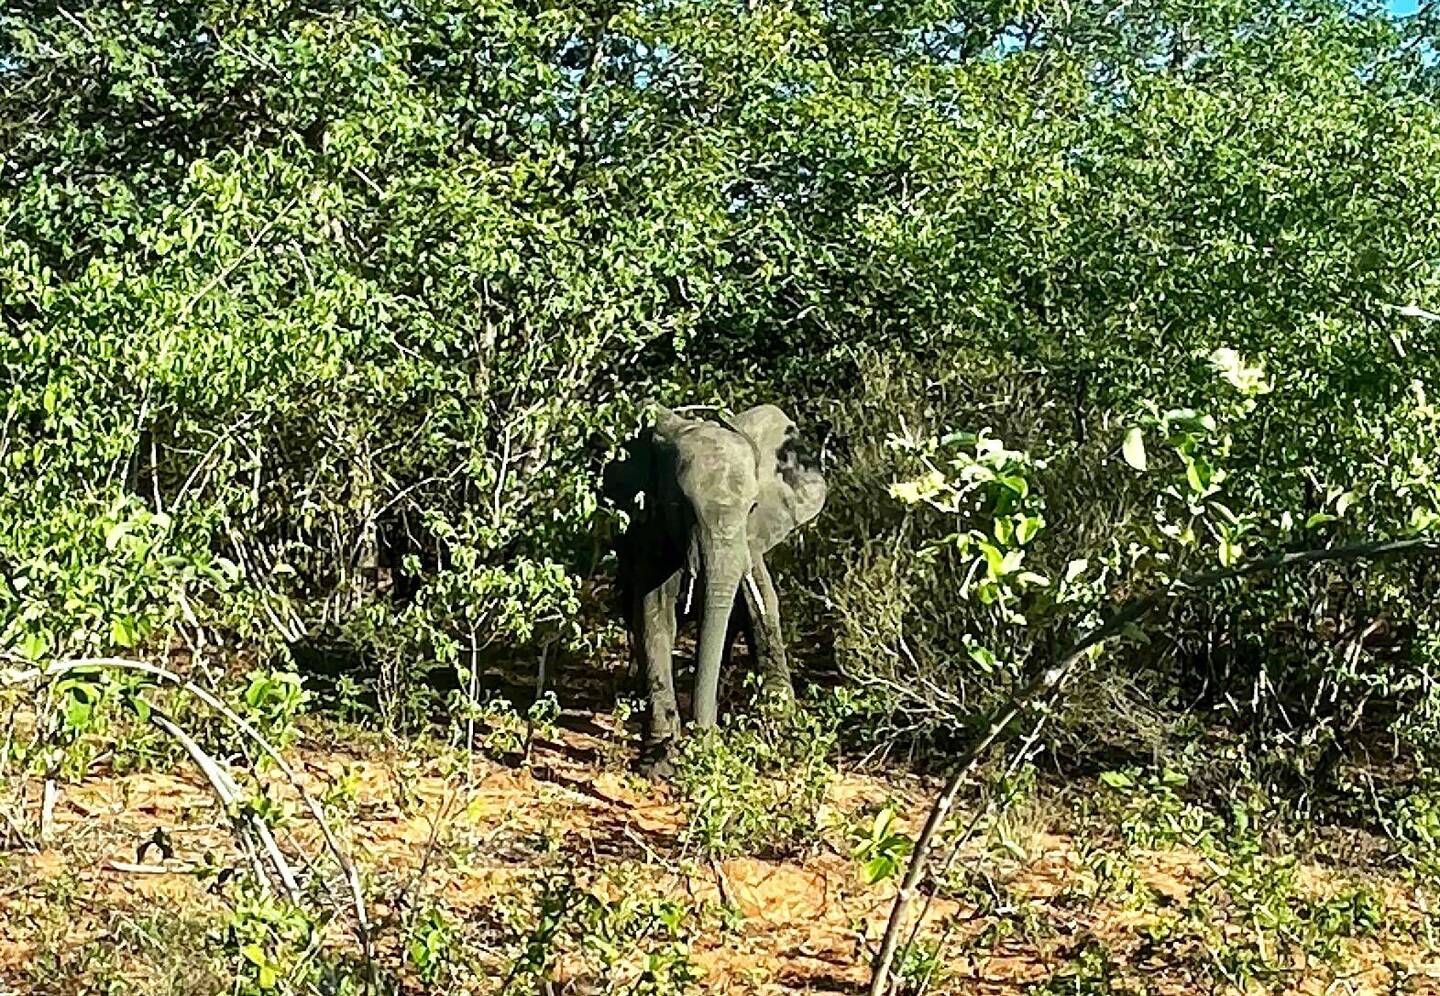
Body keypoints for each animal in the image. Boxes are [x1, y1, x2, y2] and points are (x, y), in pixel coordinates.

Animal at [602, 403, 827, 769]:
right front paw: (659, 760)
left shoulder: (750, 540)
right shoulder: (651, 529)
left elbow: (759, 604)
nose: (703, 741)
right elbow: (654, 614)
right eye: (681, 507)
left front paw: (785, 736)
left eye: (752, 507)